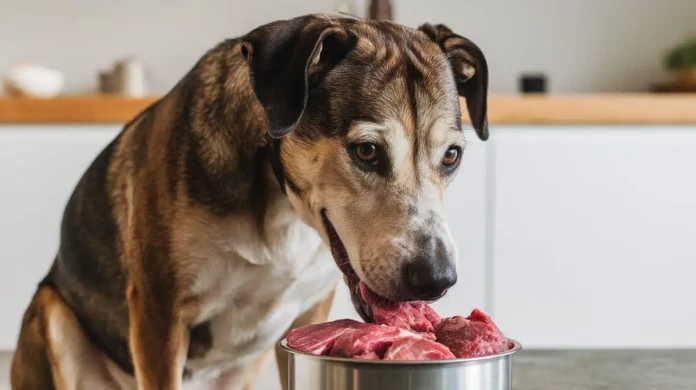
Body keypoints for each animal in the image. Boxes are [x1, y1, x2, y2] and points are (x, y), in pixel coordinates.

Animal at [9, 13, 490, 390]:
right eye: (367, 151)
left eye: (451, 156)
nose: (436, 279)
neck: (281, 207)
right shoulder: (158, 311)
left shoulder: (305, 317)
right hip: (51, 313)